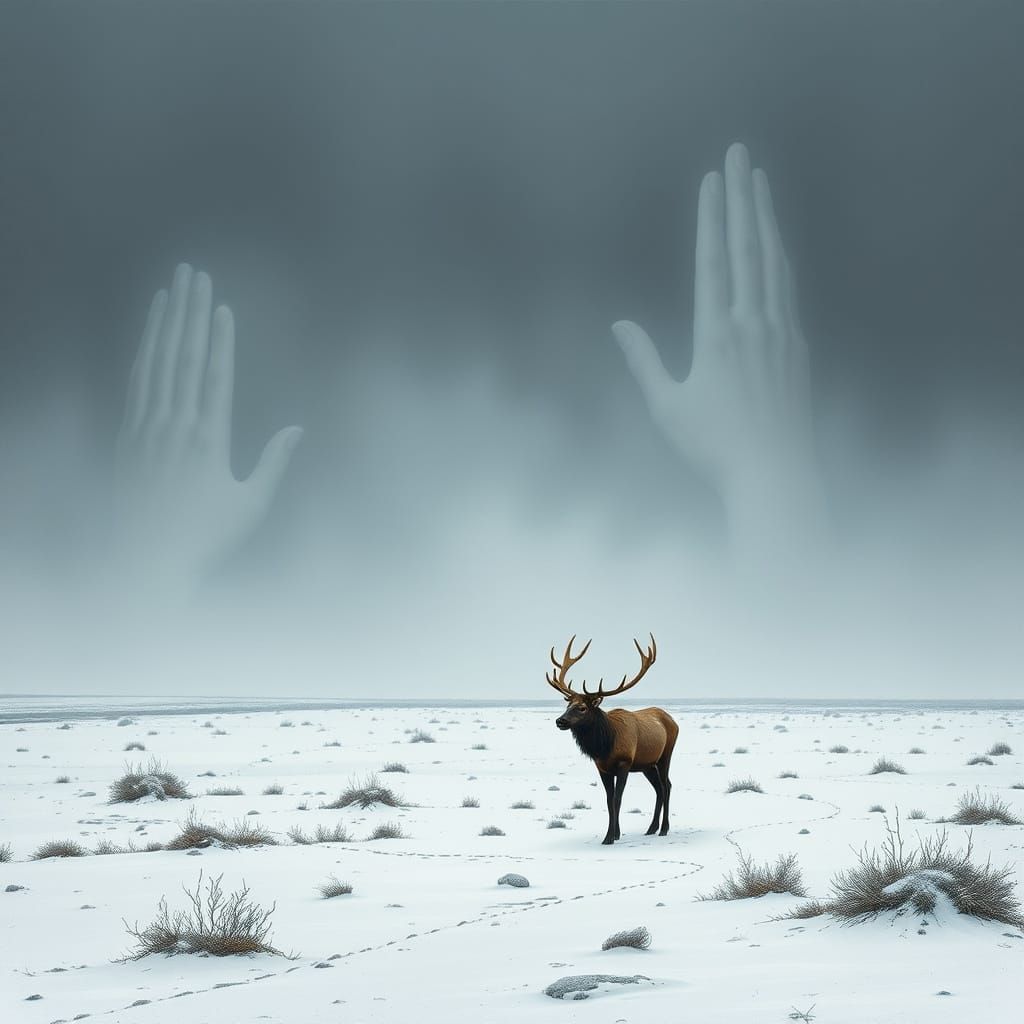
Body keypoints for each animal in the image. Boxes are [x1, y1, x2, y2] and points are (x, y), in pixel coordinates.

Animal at [546, 634, 678, 845]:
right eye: (568, 705)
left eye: (582, 707)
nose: (560, 721)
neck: (605, 746)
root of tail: (673, 720)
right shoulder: (602, 768)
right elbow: (609, 801)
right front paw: (614, 833)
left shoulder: (624, 763)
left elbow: (618, 799)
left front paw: (610, 837)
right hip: (647, 765)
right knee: (659, 788)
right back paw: (652, 828)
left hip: (665, 754)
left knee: (666, 786)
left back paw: (664, 829)